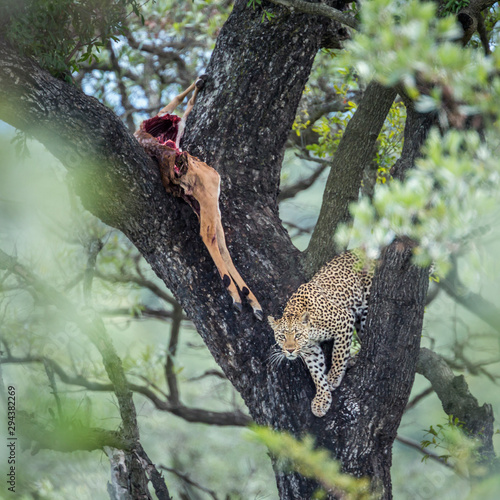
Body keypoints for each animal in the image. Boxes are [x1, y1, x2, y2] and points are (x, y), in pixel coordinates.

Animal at [268, 250, 374, 418]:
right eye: (282, 337)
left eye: (297, 335)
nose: (290, 350)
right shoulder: (310, 350)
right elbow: (316, 373)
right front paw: (321, 400)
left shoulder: (344, 320)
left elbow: (338, 353)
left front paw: (333, 377)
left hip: (366, 305)